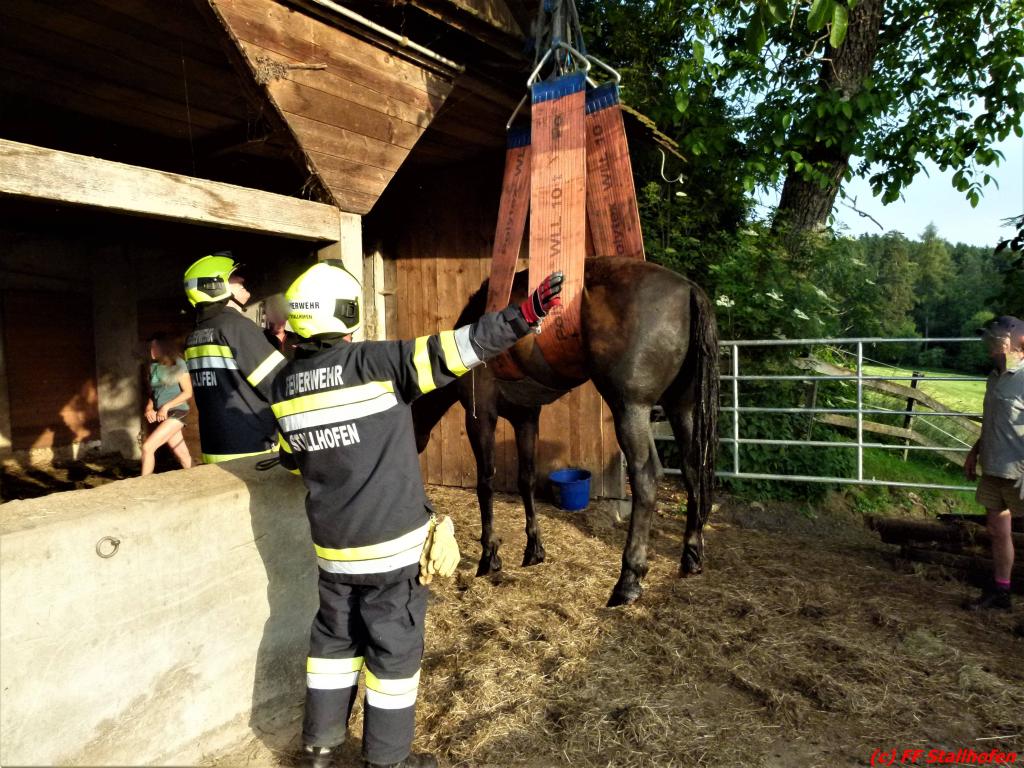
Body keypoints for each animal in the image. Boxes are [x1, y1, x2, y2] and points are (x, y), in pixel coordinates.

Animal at [412, 256, 719, 606]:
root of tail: (689, 290)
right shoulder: (526, 417)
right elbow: (526, 479)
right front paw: (534, 549)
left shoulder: (481, 417)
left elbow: (485, 483)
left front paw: (490, 555)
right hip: (684, 409)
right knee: (693, 470)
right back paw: (691, 557)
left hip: (631, 409)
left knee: (646, 477)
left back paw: (629, 578)